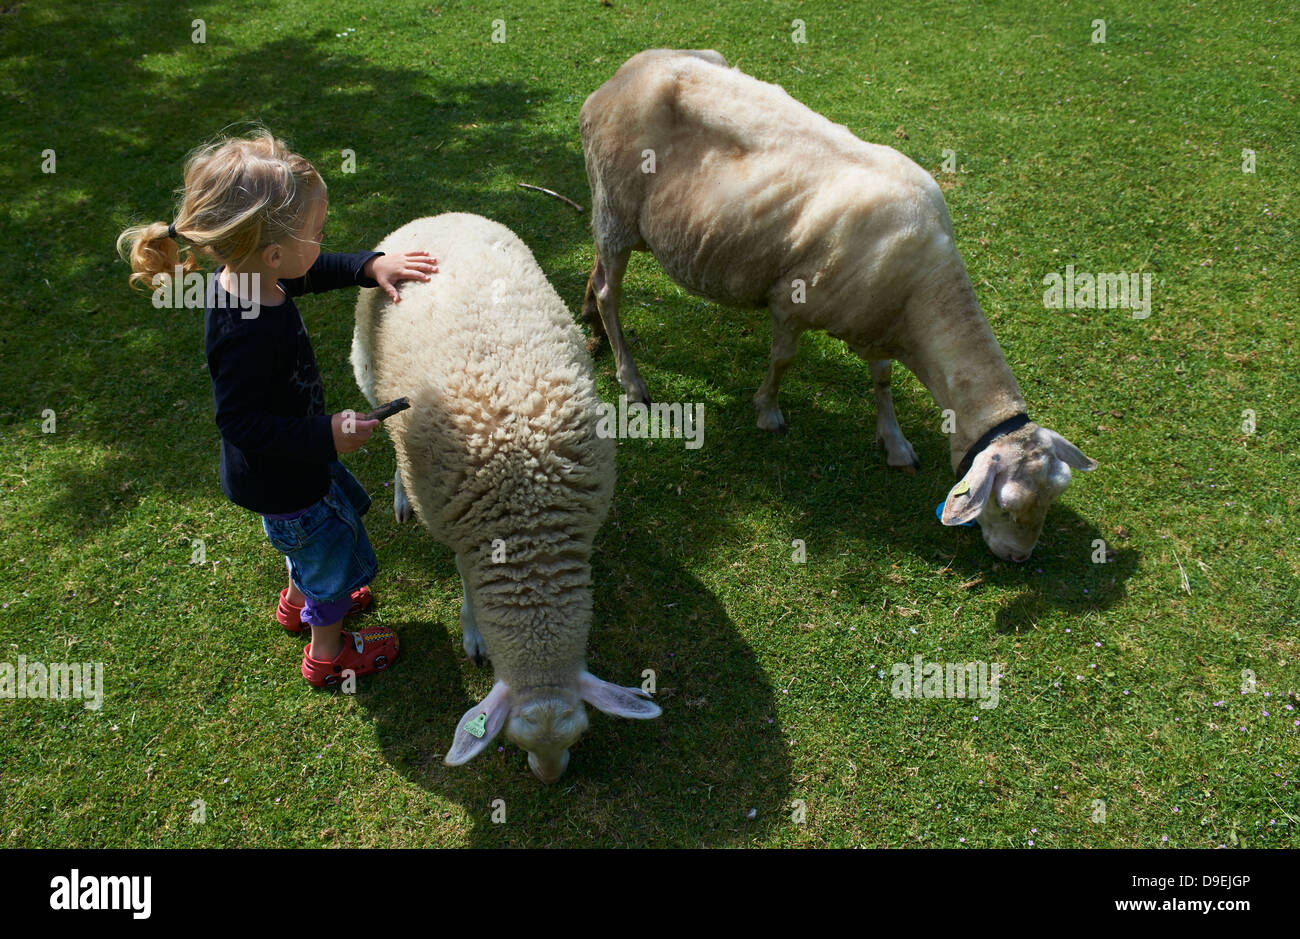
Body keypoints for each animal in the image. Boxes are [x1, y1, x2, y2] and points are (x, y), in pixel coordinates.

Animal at [351, 214, 660, 780]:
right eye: (514, 744)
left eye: (580, 734)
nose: (550, 781)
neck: (527, 521)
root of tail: (437, 215)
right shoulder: (459, 529)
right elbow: (465, 584)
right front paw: (473, 634)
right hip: (367, 371)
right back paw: (401, 497)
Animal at [579, 47, 1097, 559]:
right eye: (1005, 506)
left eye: (1052, 499)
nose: (1018, 559)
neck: (922, 298)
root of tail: (620, 76)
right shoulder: (791, 301)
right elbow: (784, 360)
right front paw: (768, 413)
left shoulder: (878, 321)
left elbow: (882, 379)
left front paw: (895, 443)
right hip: (617, 207)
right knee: (609, 290)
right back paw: (630, 377)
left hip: (615, 212)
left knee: (597, 270)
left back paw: (590, 325)